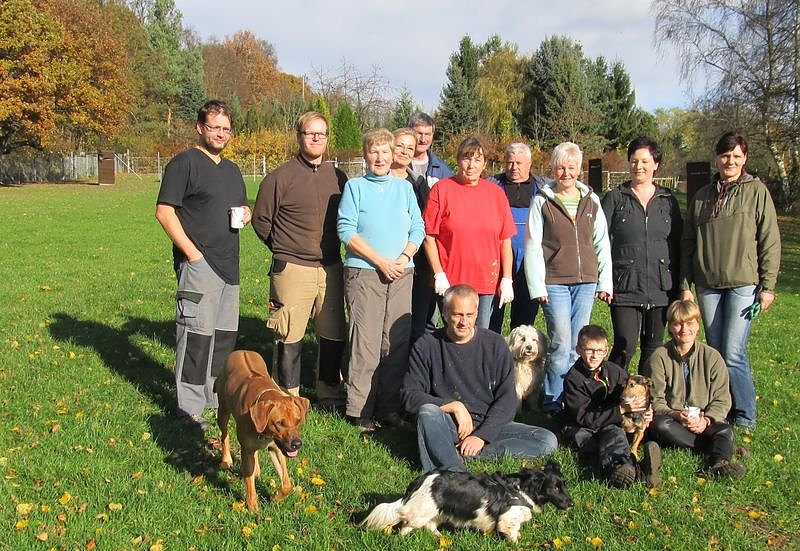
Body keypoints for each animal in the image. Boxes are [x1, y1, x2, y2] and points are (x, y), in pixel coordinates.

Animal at [216, 352, 310, 512]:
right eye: (279, 423)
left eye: (298, 421)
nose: (297, 444)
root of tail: (241, 350)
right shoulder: (246, 449)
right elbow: (249, 481)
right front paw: (252, 507)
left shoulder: (276, 447)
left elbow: (287, 484)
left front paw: (276, 497)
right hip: (222, 411)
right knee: (224, 434)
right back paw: (226, 459)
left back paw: (257, 470)